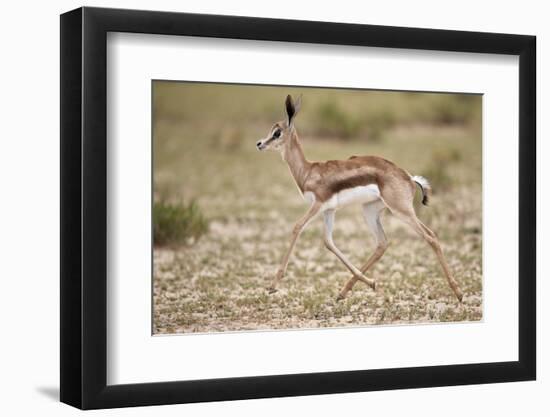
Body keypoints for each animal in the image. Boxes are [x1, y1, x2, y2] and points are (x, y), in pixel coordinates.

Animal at [256, 95, 464, 300]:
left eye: (277, 132)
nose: (259, 144)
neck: (308, 172)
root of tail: (409, 177)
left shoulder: (318, 205)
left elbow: (297, 227)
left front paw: (273, 286)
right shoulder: (329, 210)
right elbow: (328, 242)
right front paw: (371, 283)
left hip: (401, 211)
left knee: (430, 236)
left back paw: (459, 292)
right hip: (370, 210)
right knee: (382, 243)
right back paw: (345, 291)